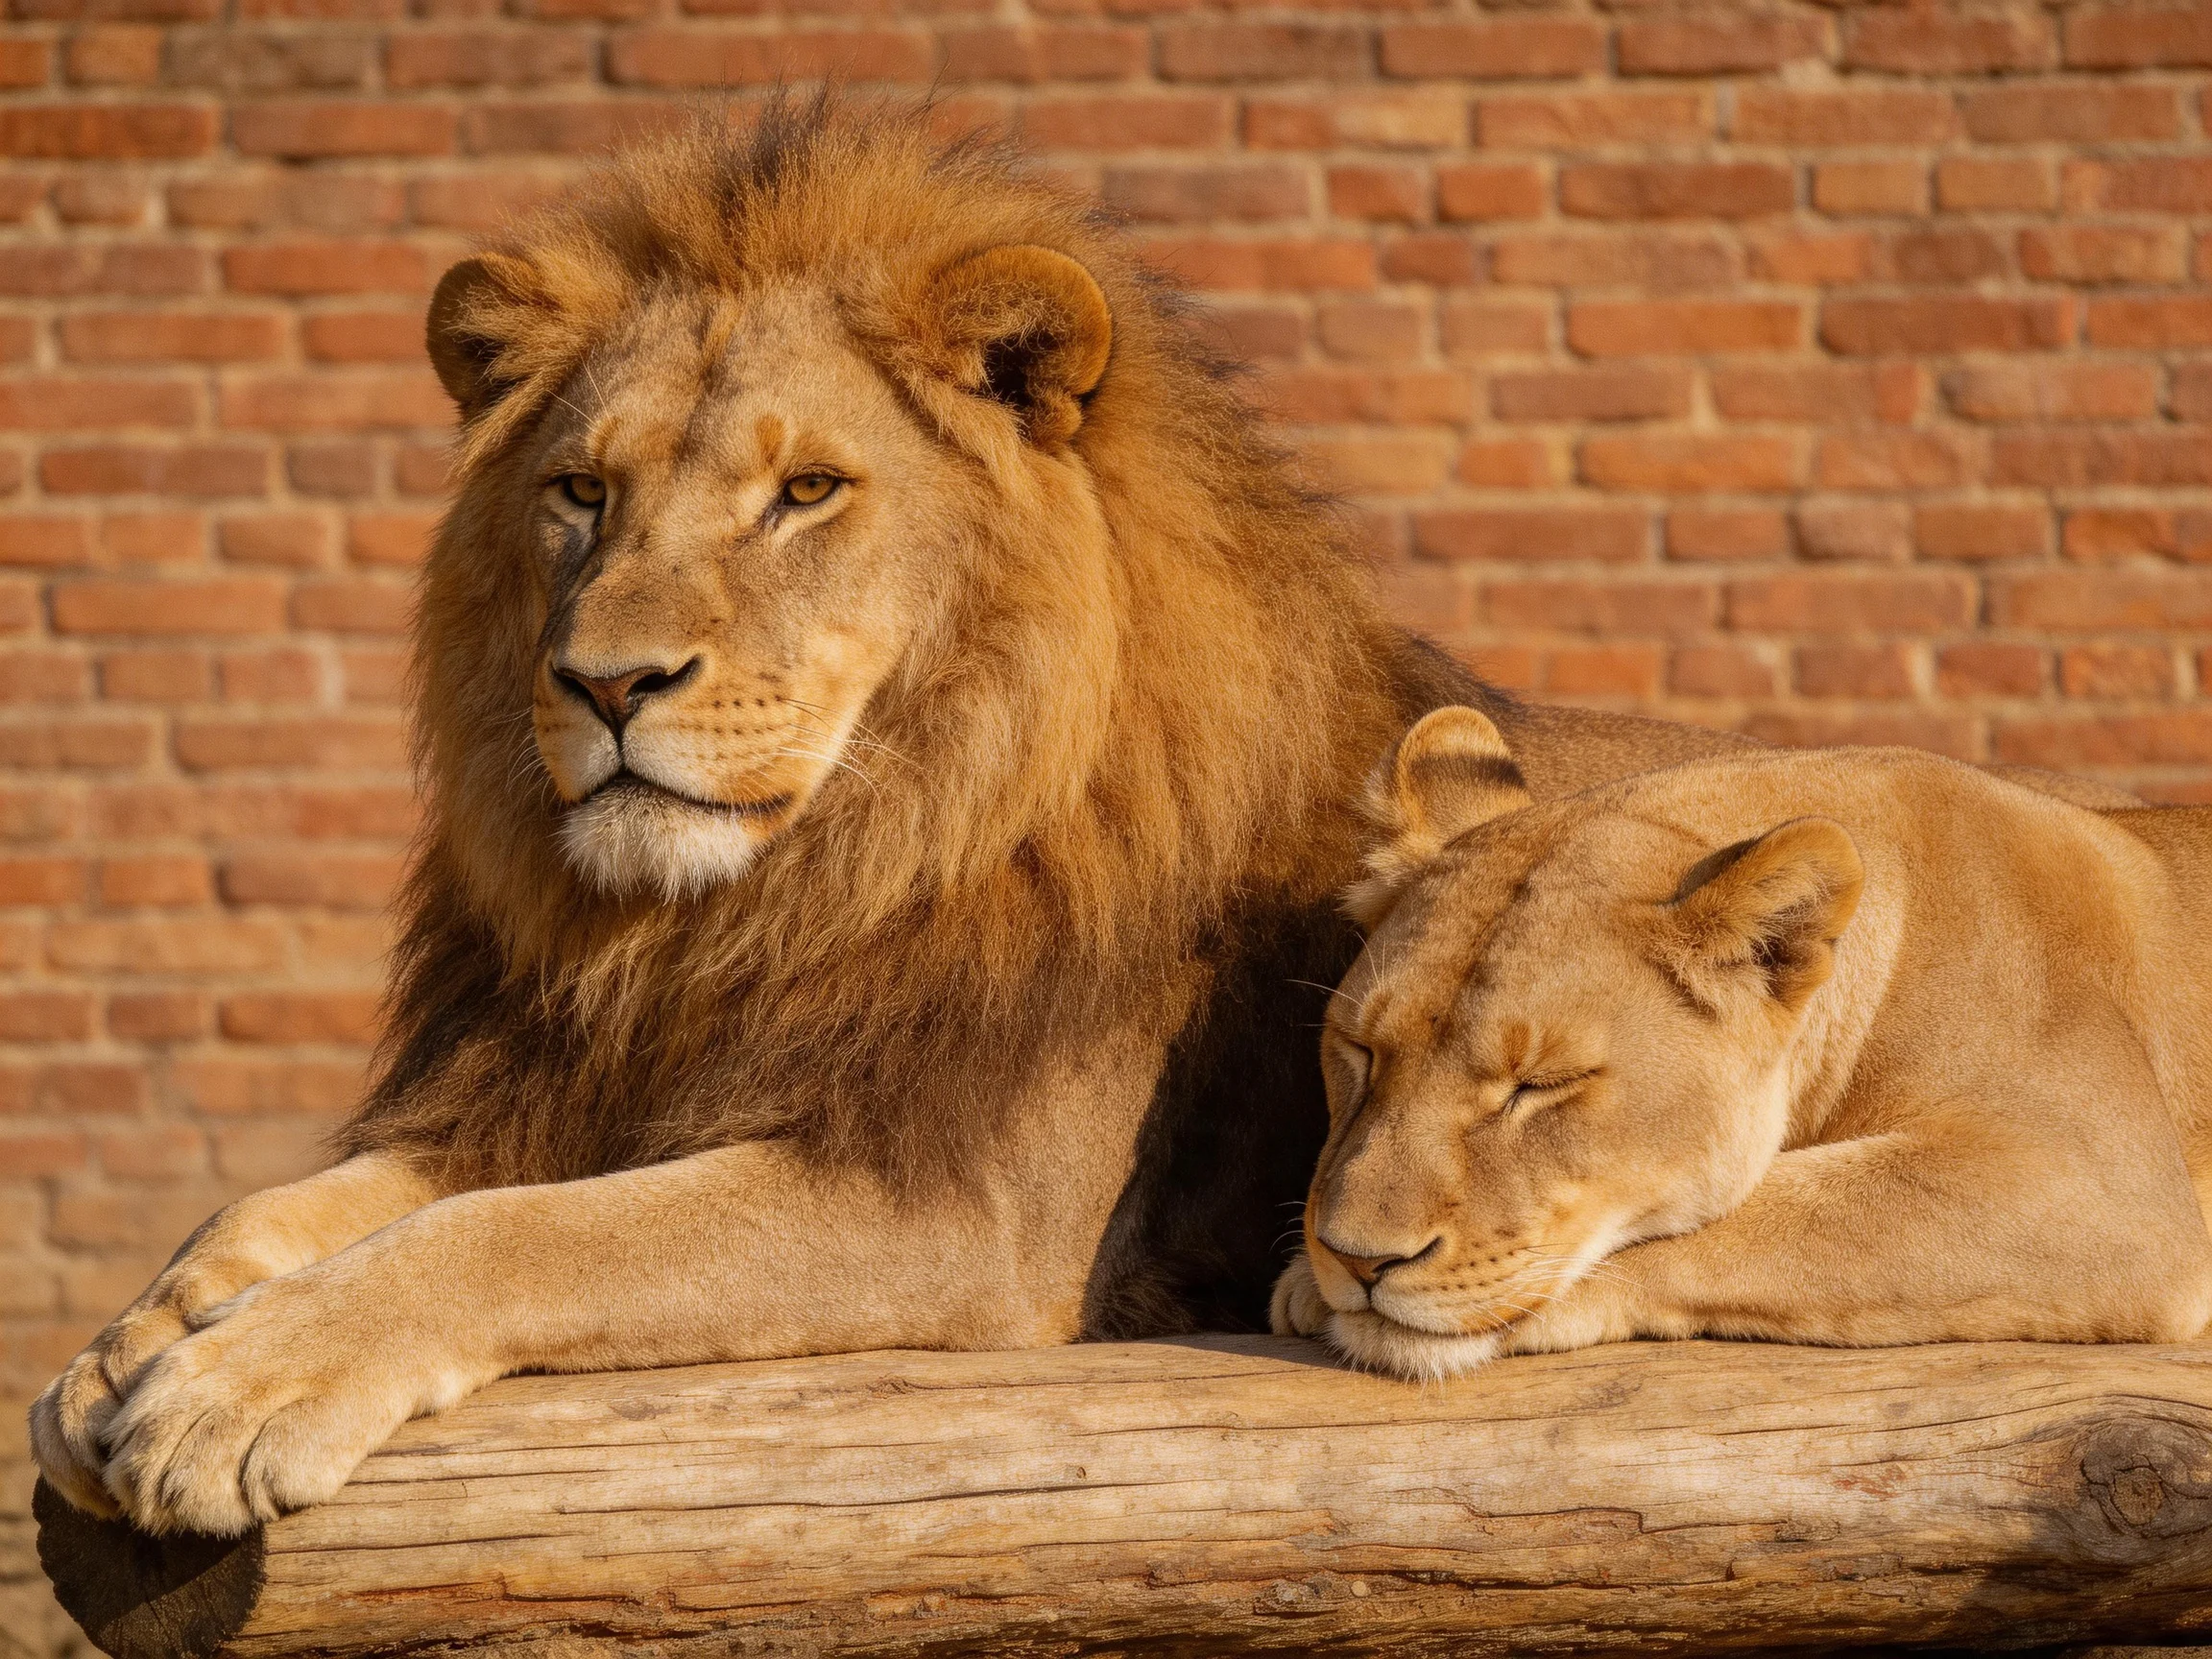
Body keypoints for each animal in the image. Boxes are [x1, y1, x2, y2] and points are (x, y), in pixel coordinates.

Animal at [32, 101, 1780, 1538]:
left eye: (805, 492)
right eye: (582, 493)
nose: (605, 682)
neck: (755, 912)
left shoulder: (957, 1213)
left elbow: (530, 1238)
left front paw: (236, 1385)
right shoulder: (551, 1087)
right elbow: (305, 1201)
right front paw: (136, 1337)